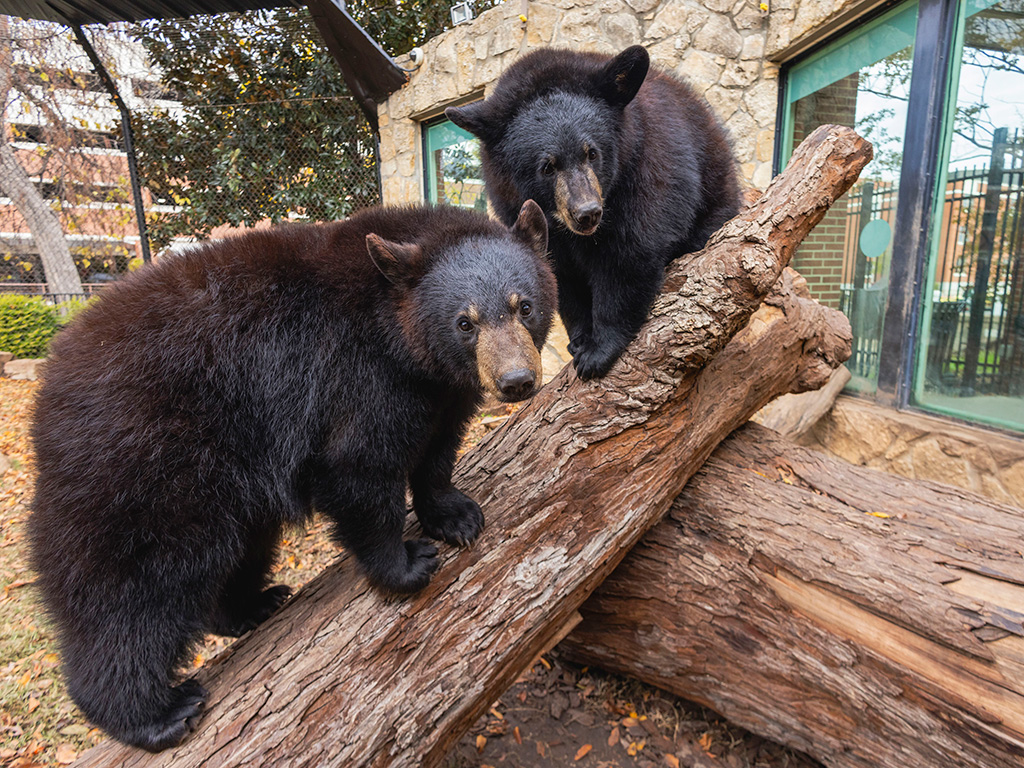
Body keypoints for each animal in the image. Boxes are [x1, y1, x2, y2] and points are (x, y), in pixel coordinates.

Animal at [28, 201, 557, 753]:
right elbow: (357, 469)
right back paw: (154, 714)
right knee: (131, 591)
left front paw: (455, 516)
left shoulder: (441, 392)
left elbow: (438, 450)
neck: (399, 340)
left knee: (240, 551)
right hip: (145, 468)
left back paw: (251, 605)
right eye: (464, 322)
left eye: (524, 306)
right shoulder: (354, 378)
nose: (516, 381)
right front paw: (406, 563)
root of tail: (47, 398)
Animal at [448, 44, 745, 378]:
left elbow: (629, 255)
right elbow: (559, 275)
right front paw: (579, 339)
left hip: (713, 194)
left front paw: (597, 352)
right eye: (547, 166)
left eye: (592, 153)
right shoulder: (515, 205)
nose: (587, 213)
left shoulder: (646, 170)